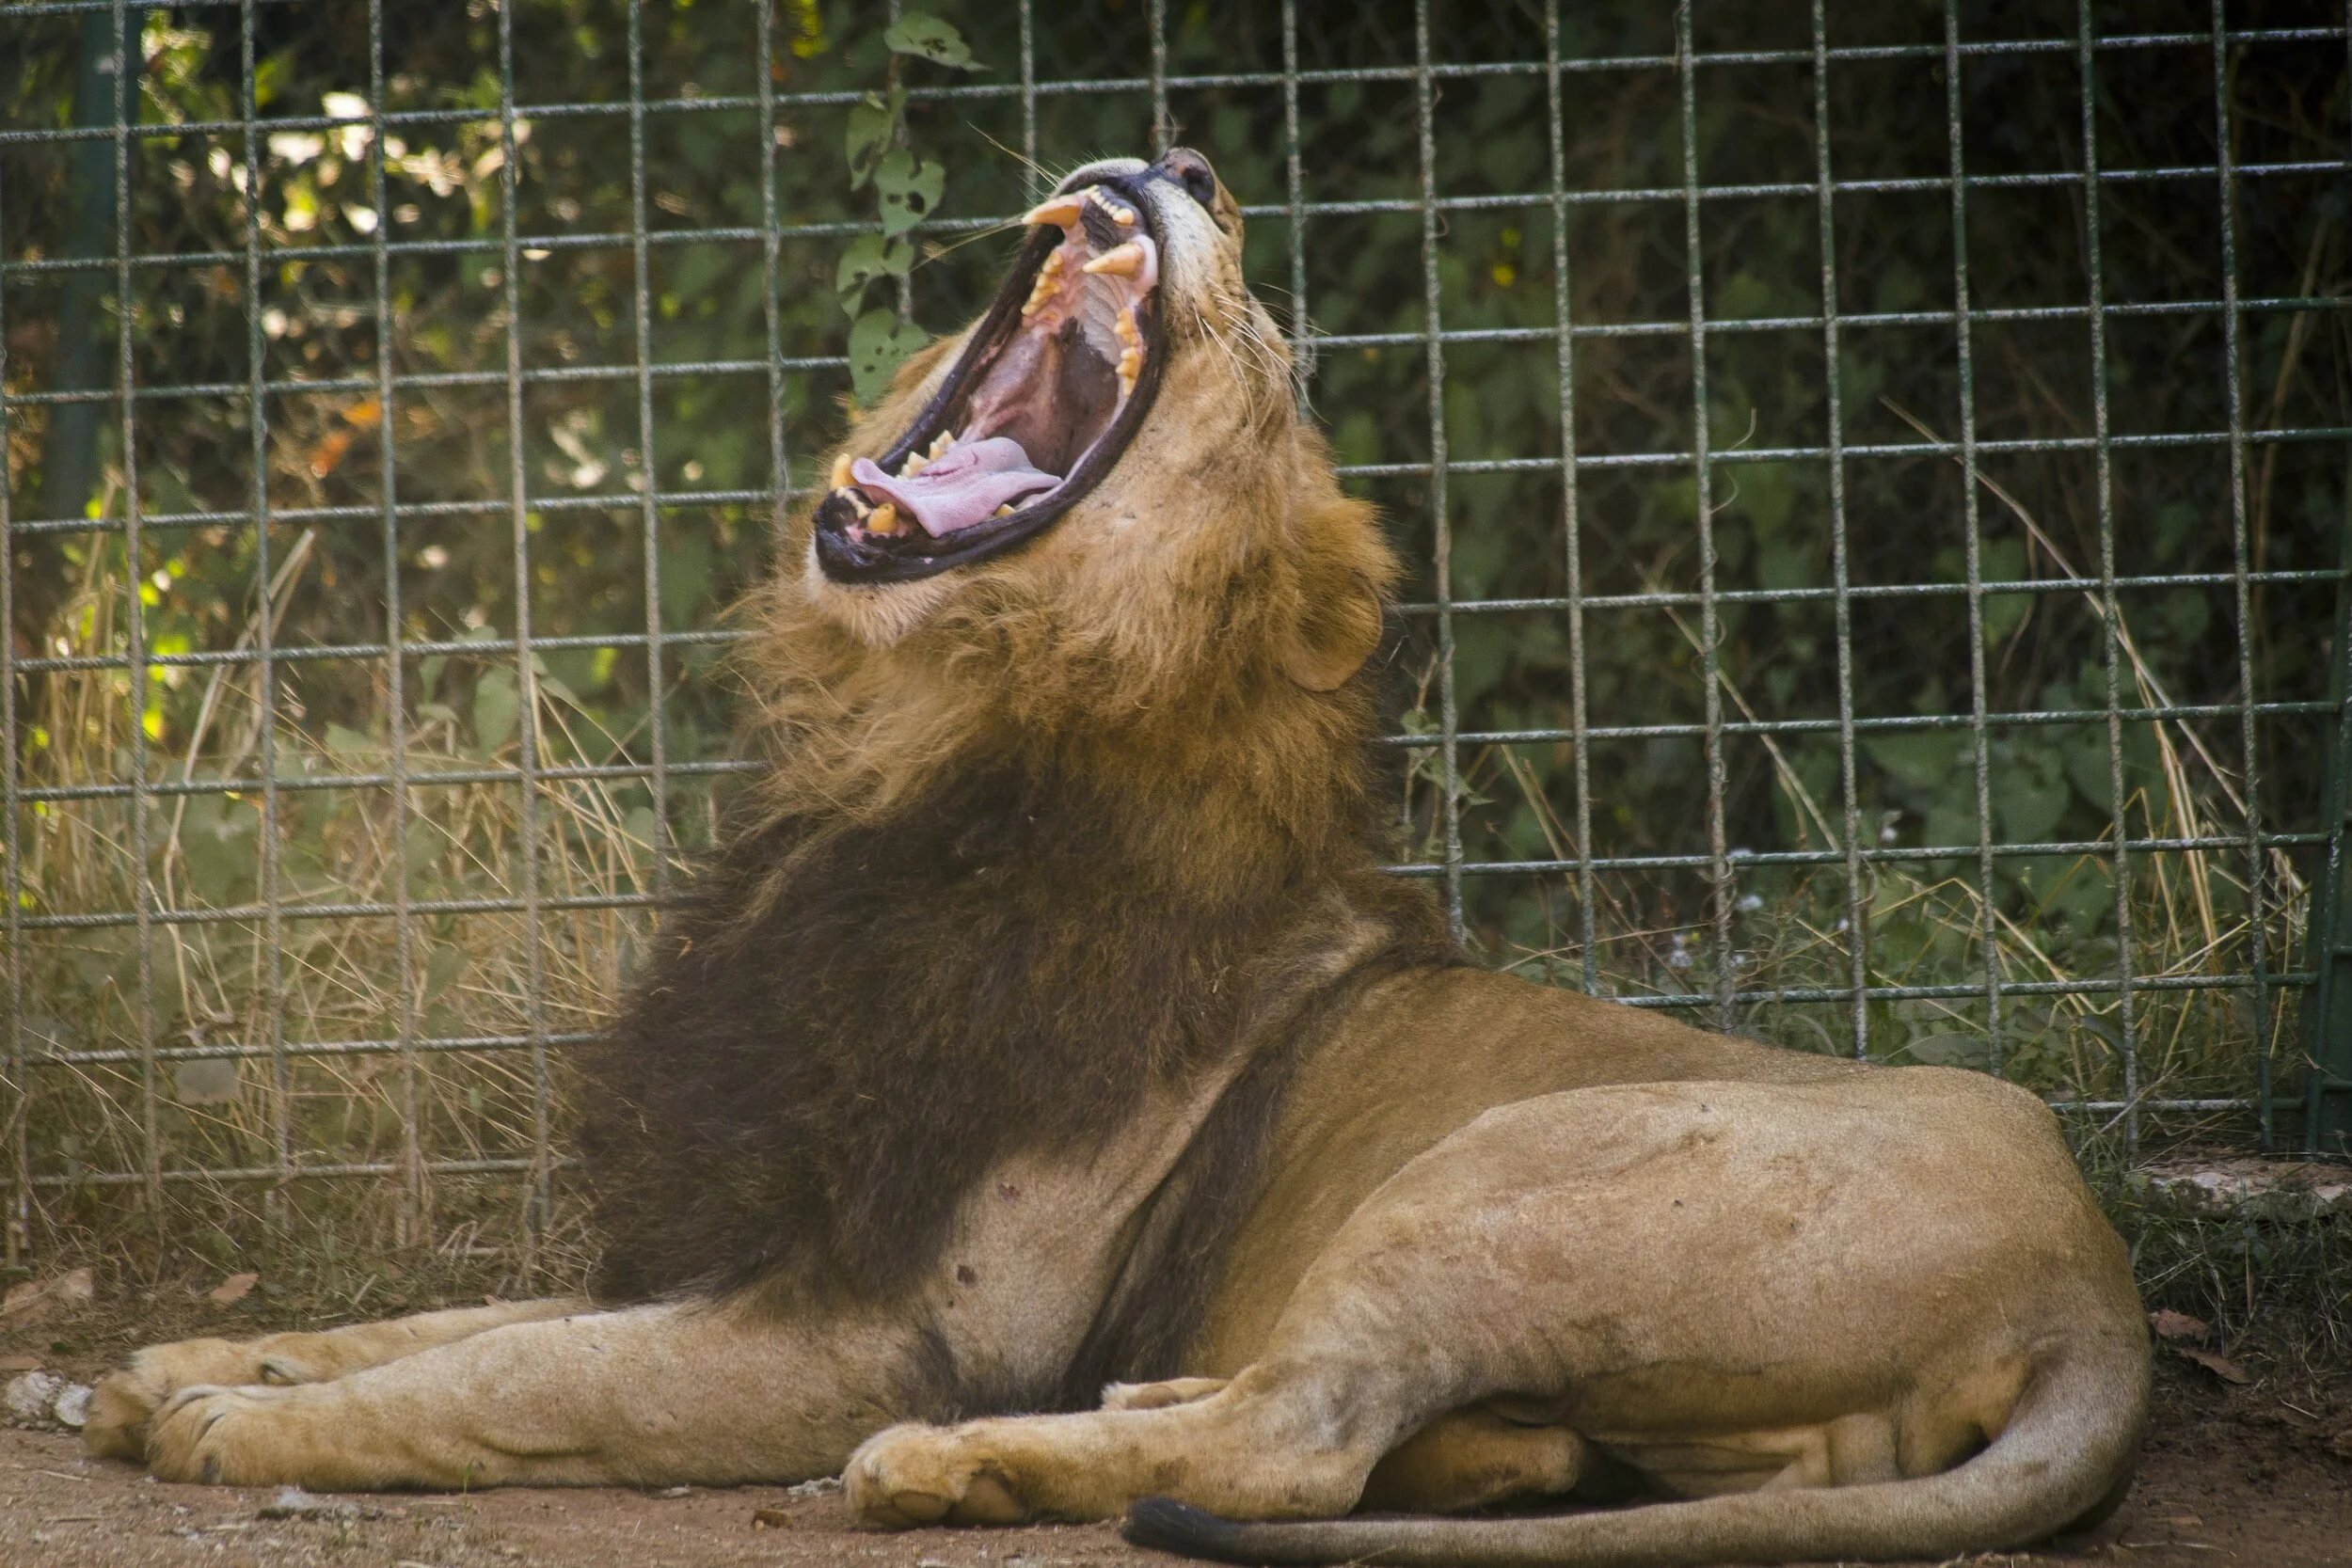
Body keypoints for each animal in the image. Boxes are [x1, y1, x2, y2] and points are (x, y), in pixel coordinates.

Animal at [83, 148, 2147, 1566]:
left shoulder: (892, 1326)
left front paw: (230, 1421)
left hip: (1506, 1178)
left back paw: (965, 1469)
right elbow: (459, 1315)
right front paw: (189, 1358)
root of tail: (2094, 1289)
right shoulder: (762, 1228)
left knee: (1294, 1443)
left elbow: (523, 1375)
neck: (906, 752)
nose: (1192, 165)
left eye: (1273, 370)